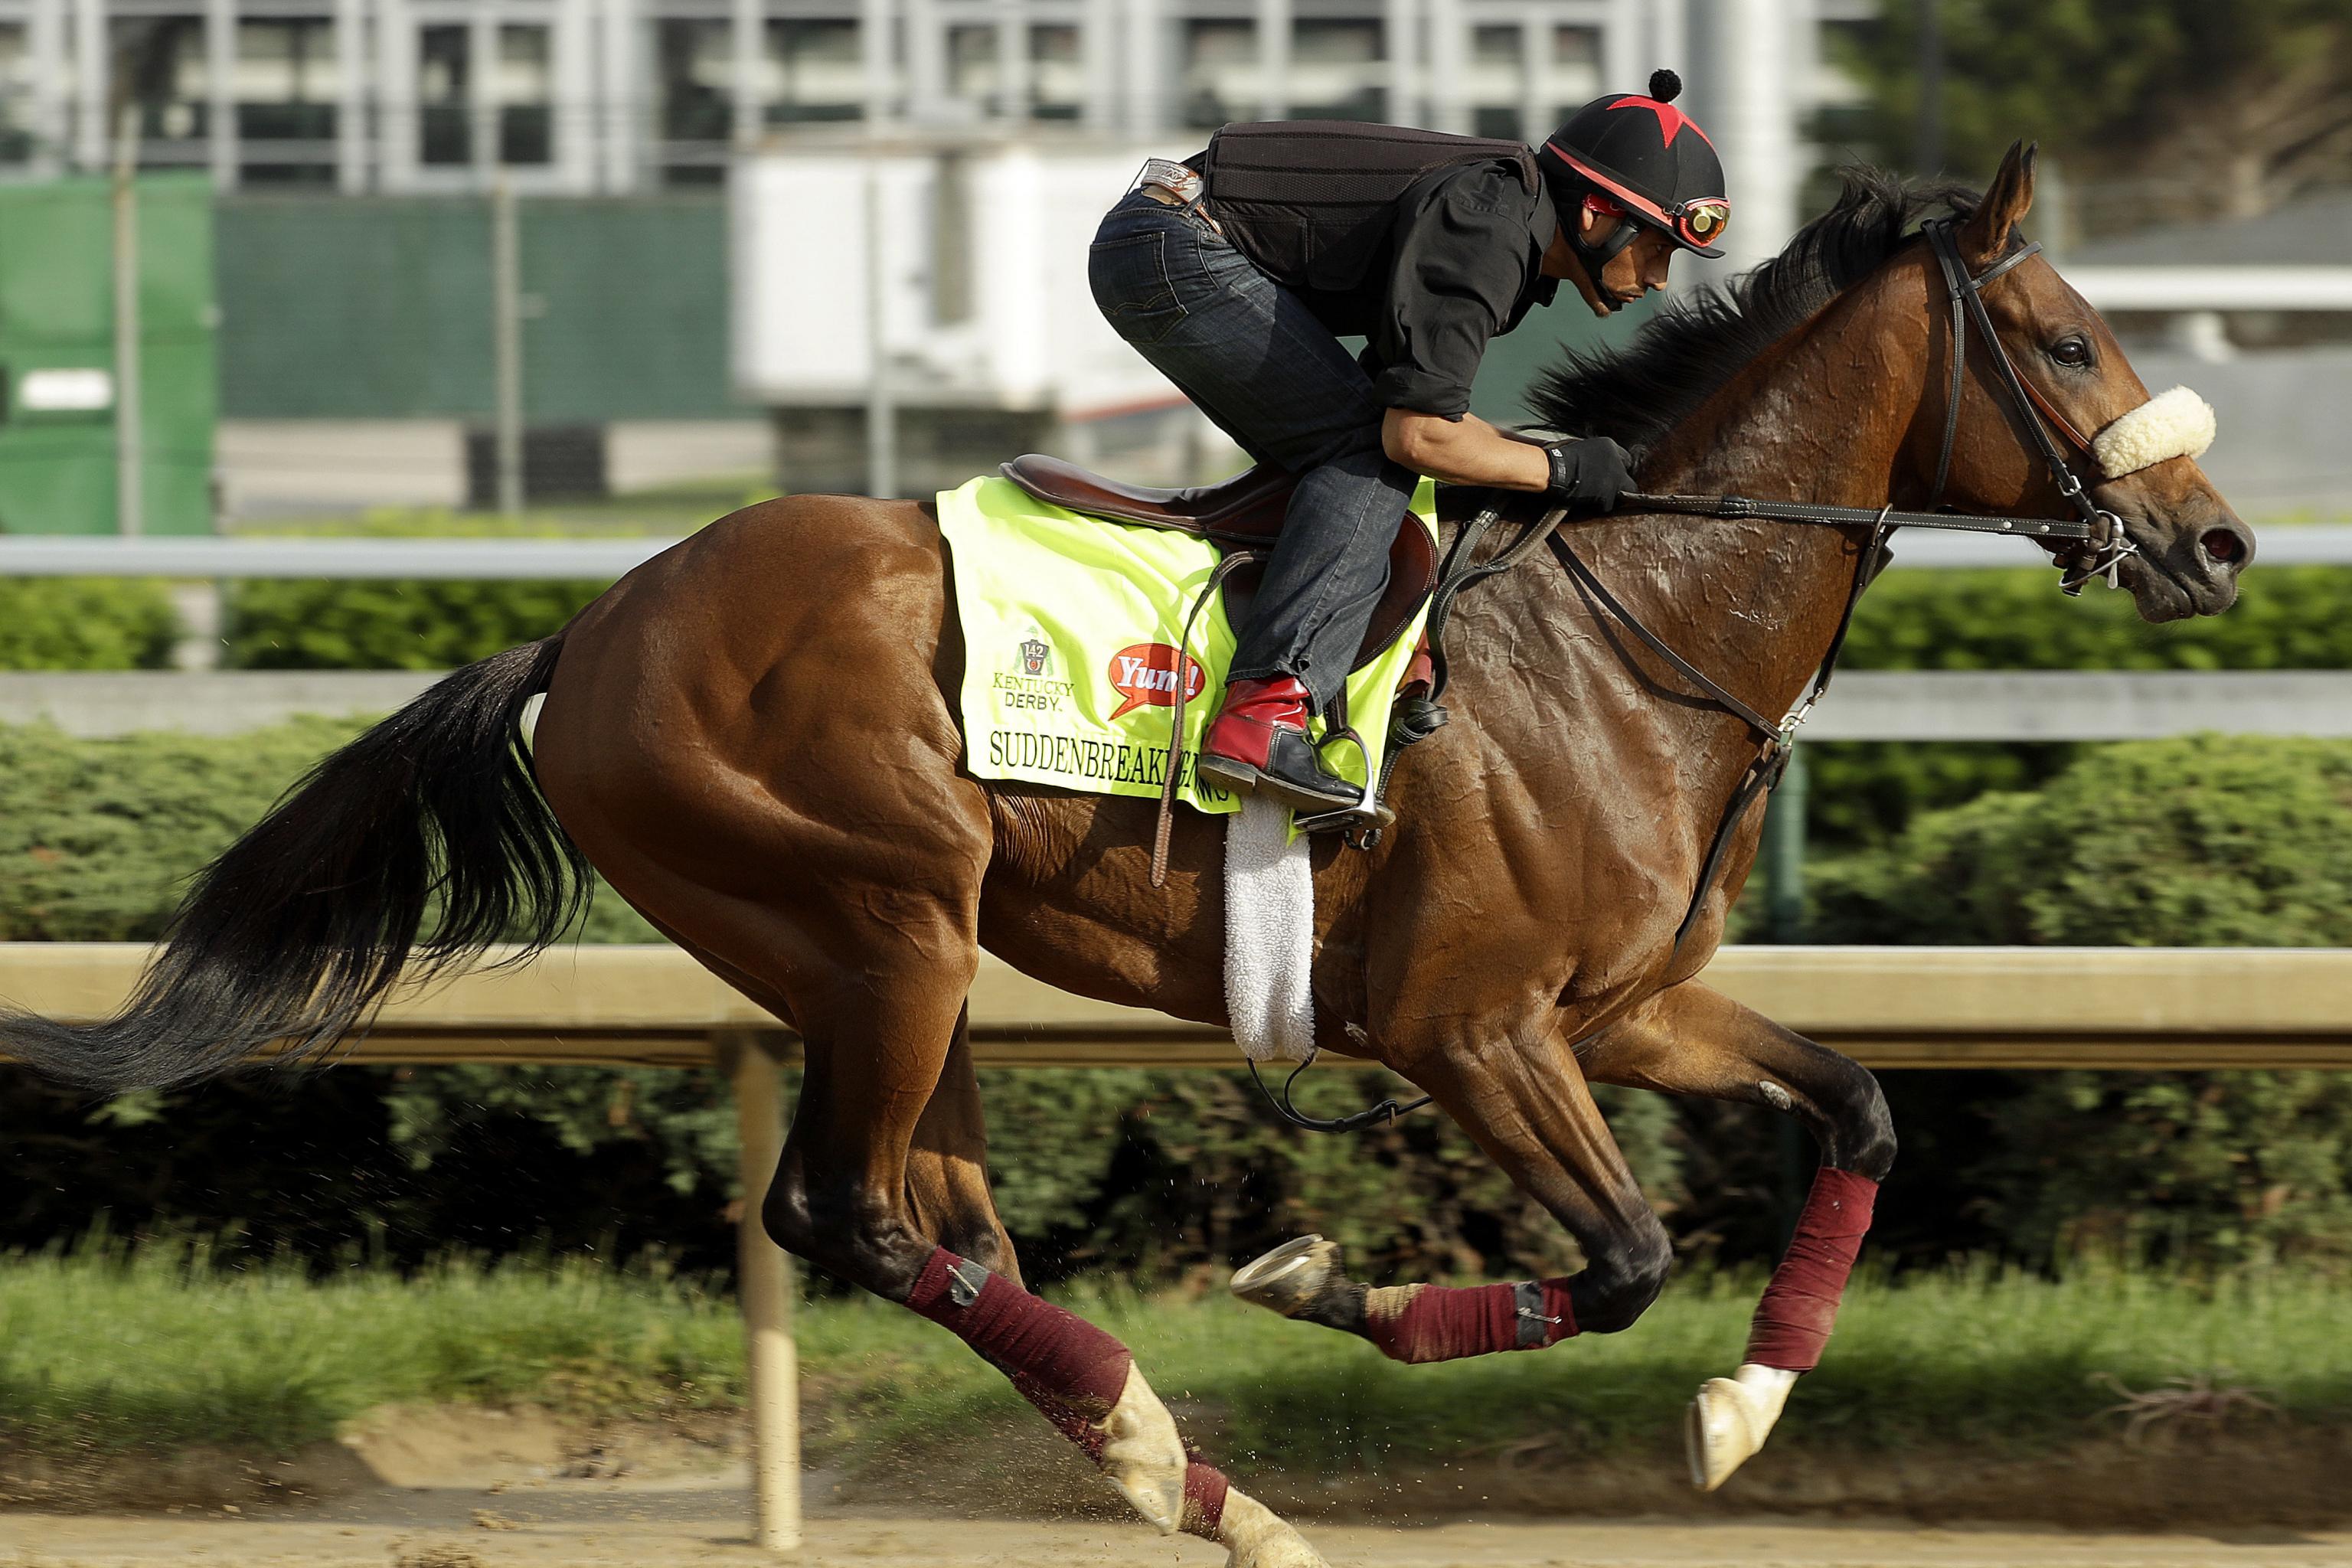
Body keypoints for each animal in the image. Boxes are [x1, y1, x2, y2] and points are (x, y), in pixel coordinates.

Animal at [5, 150, 2239, 1568]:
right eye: (2063, 338)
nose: (2214, 540)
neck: (1626, 622)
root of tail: (592, 628)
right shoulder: (1470, 1028)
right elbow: (1612, 1261)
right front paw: (1327, 1276)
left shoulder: (1632, 1002)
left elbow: (1857, 1104)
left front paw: (1746, 1410)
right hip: (883, 914)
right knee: (845, 1214)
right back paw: (1178, 1452)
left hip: (887, 956)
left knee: (945, 1228)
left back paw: (1198, 1484)